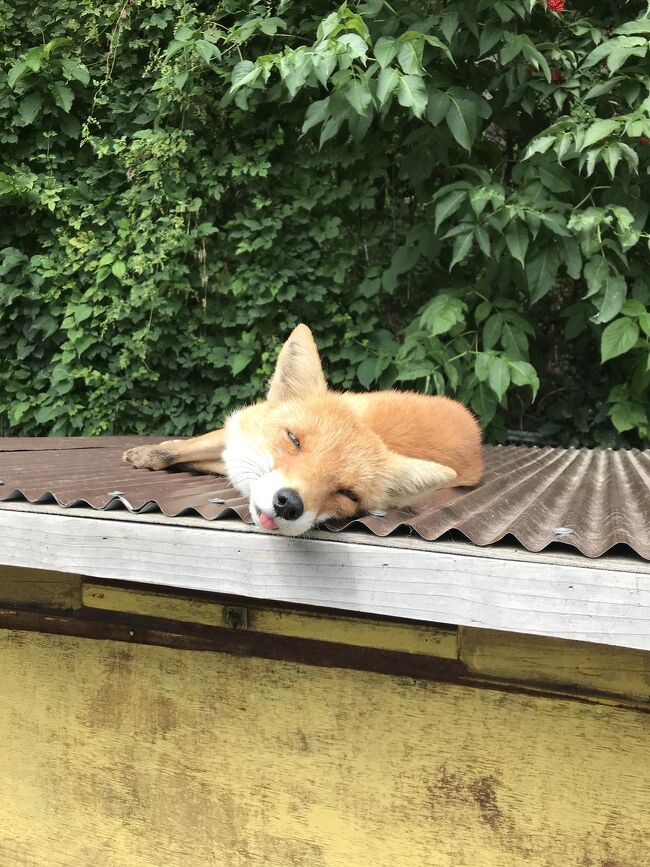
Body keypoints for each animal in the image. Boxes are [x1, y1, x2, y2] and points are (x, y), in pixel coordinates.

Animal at [123, 326, 480, 536]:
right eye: (294, 440)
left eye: (348, 494)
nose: (289, 504)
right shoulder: (236, 434)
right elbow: (181, 449)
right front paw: (147, 455)